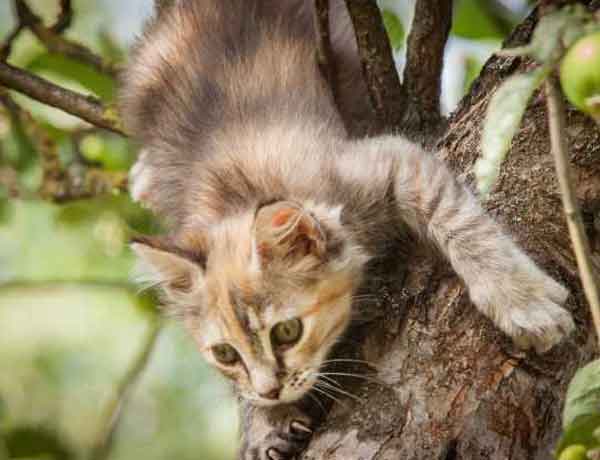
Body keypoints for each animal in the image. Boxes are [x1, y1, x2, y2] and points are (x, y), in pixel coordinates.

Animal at [120, 0, 572, 456]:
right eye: (226, 354)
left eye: (287, 333)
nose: (270, 392)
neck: (240, 196)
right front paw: (263, 423)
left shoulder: (389, 160)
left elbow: (461, 221)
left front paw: (521, 302)